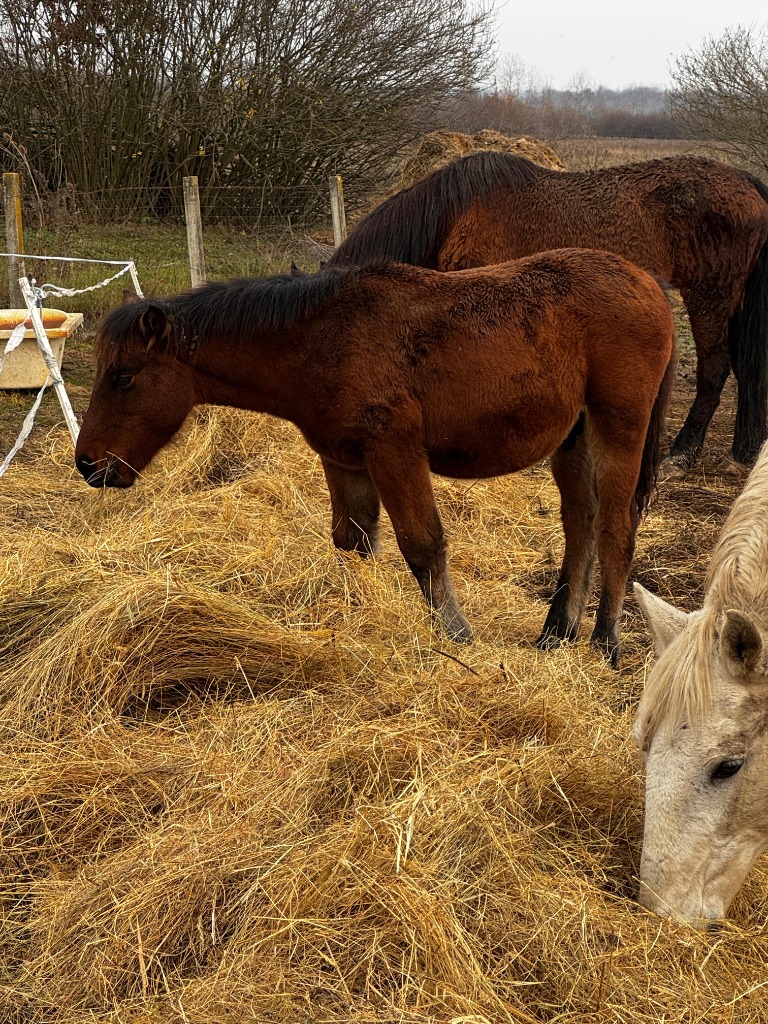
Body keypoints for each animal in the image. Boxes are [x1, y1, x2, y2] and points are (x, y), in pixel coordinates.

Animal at [75, 251, 676, 665]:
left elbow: (423, 544)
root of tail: (647, 281)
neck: (319, 339)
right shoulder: (345, 461)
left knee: (617, 528)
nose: (87, 464)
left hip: (618, 430)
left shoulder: (394, 451)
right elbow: (355, 541)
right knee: (582, 525)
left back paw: (604, 641)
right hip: (572, 442)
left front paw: (456, 636)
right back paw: (556, 632)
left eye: (122, 376)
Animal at [329, 151, 768, 468]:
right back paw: (744, 447)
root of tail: (746, 182)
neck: (454, 214)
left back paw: (683, 452)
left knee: (715, 370)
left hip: (710, 297)